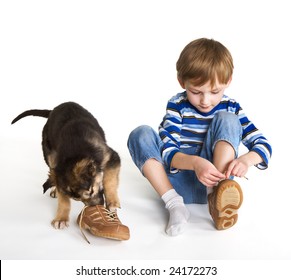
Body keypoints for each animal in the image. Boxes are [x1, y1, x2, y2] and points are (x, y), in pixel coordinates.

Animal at [11, 101, 121, 229]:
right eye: (76, 199)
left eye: (91, 191)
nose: (97, 206)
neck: (74, 154)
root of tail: (53, 110)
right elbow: (63, 199)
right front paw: (61, 218)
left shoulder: (112, 158)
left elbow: (110, 180)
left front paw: (112, 202)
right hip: (49, 154)